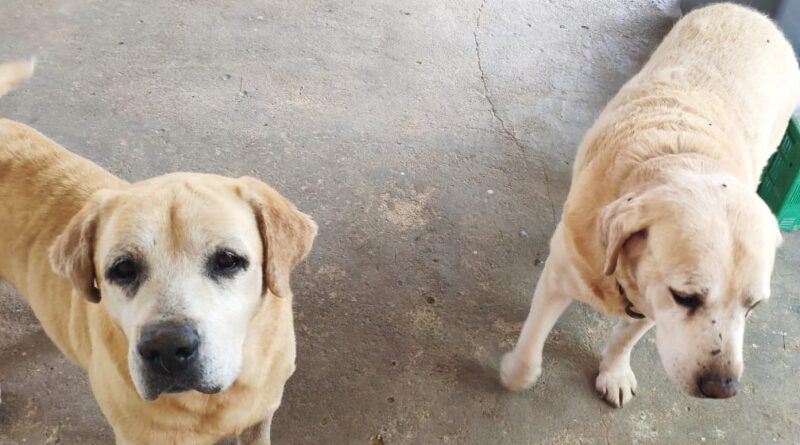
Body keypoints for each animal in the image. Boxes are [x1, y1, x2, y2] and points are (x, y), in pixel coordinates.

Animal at [500, 3, 800, 406]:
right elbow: (532, 341)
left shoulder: (649, 303)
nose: (721, 389)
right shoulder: (560, 275)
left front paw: (614, 371)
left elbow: (626, 337)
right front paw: (516, 372)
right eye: (685, 297)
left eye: (753, 306)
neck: (678, 158)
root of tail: (751, 13)